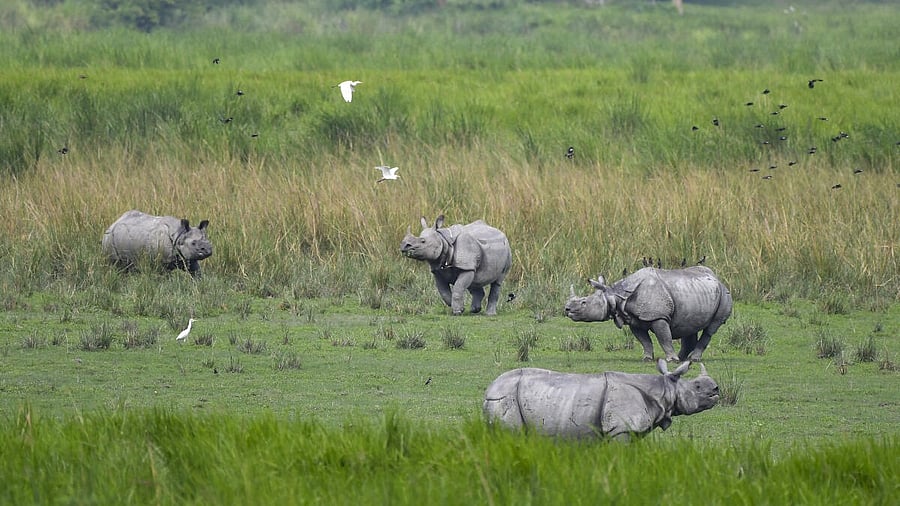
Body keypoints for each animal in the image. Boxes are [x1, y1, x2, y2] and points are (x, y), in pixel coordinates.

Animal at [483, 360, 718, 442]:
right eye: (697, 386)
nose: (716, 389)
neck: (665, 388)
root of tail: (488, 390)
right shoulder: (621, 428)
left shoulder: (631, 430)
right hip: (505, 398)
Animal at [565, 266, 732, 362]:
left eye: (584, 302)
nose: (566, 309)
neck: (615, 295)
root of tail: (718, 279)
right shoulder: (633, 319)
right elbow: (644, 340)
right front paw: (647, 358)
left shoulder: (658, 316)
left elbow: (664, 338)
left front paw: (671, 360)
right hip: (696, 293)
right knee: (689, 325)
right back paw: (683, 359)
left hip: (724, 294)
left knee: (711, 328)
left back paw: (692, 359)